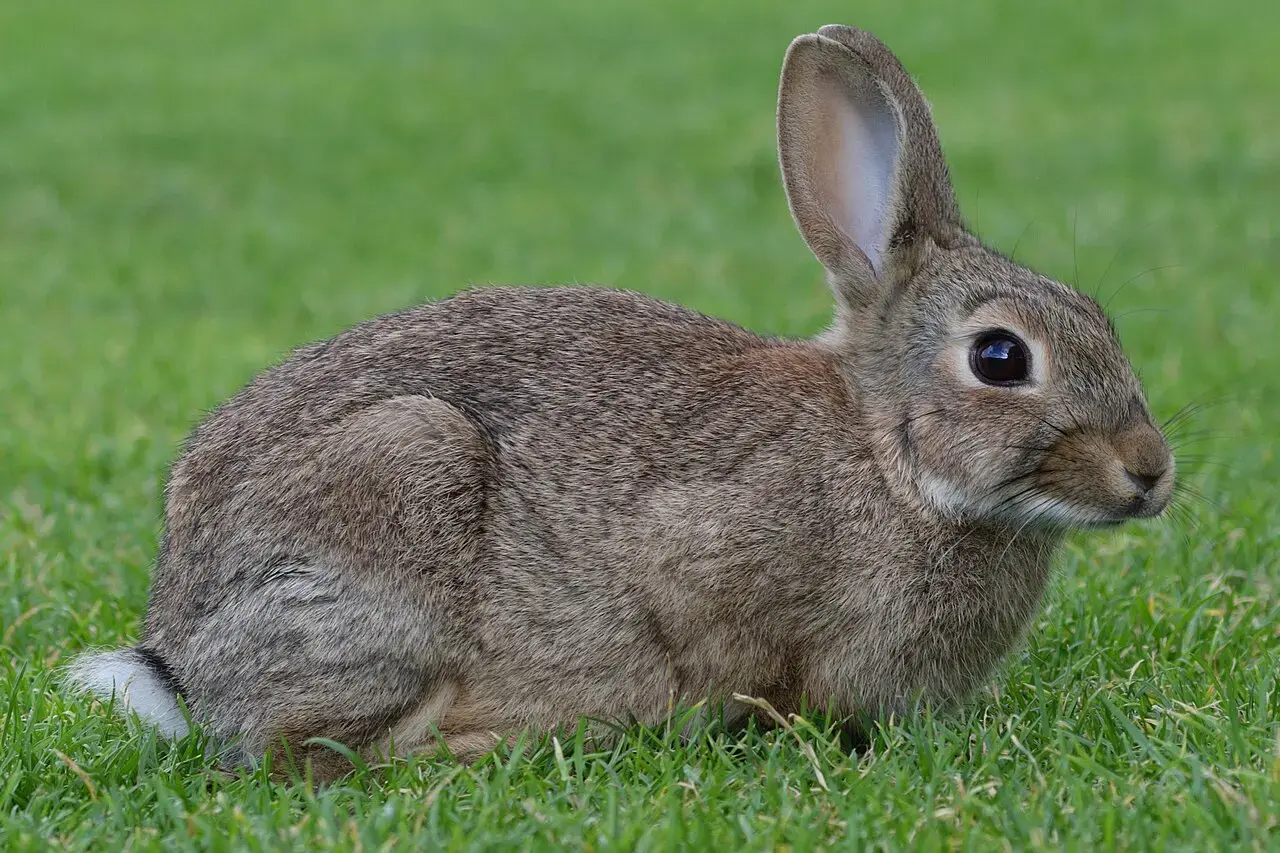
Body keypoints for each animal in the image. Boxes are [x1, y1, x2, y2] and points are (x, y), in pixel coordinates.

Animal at [67, 24, 1175, 779]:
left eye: (1100, 318)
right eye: (999, 356)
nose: (1150, 472)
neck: (889, 462)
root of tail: (180, 660)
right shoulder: (699, 558)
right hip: (400, 478)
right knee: (314, 751)